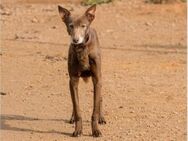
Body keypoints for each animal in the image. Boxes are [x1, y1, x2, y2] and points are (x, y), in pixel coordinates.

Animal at [57, 3, 106, 137]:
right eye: (71, 26)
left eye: (83, 26)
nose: (75, 40)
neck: (82, 49)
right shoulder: (73, 80)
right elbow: (77, 106)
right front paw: (78, 129)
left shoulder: (97, 78)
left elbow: (95, 109)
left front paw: (96, 130)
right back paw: (72, 117)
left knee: (100, 98)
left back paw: (102, 117)